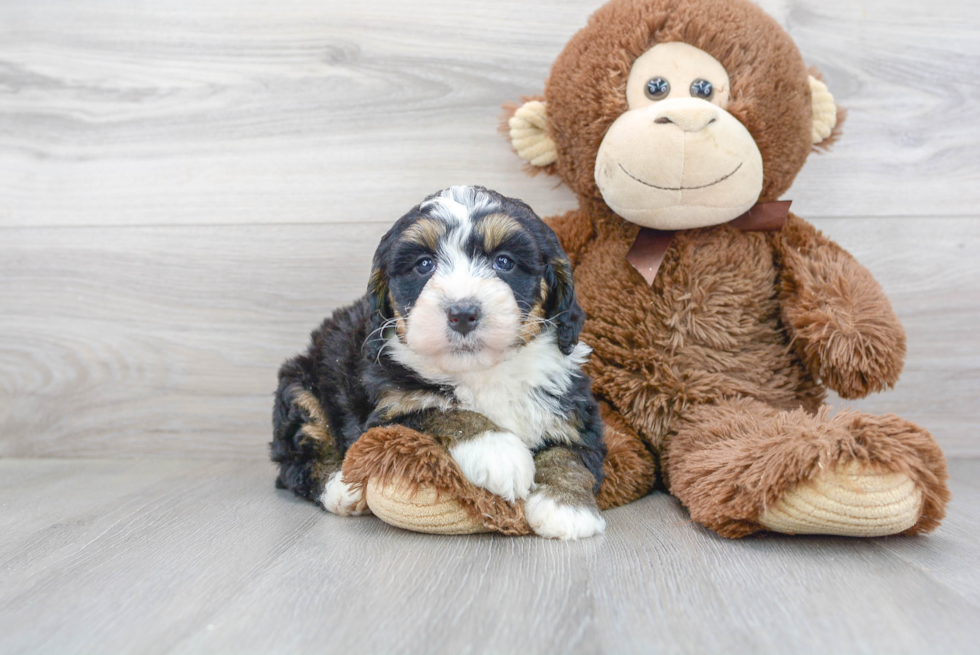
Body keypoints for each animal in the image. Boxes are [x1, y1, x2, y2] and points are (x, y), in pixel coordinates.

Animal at [270, 184, 604, 540]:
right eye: (424, 265)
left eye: (504, 262)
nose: (463, 313)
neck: (482, 371)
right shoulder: (391, 410)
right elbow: (444, 411)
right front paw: (497, 450)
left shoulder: (573, 406)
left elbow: (572, 453)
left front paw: (567, 504)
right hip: (299, 386)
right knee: (296, 459)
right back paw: (339, 487)